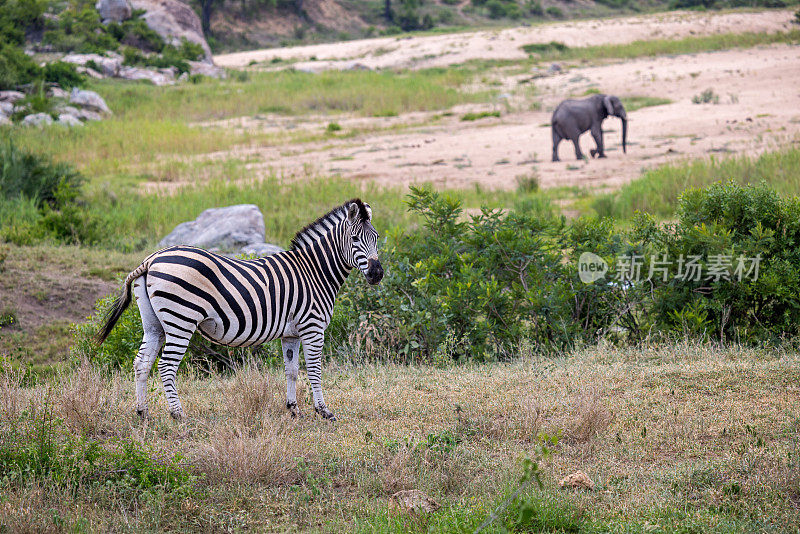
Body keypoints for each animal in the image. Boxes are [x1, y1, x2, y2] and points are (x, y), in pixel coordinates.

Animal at [97, 201, 384, 422]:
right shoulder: (312, 327)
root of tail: (151, 259)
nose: (377, 274)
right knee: (167, 366)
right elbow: (314, 370)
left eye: (377, 238)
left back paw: (142, 413)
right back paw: (178, 415)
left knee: (141, 363)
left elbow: (291, 370)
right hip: (181, 319)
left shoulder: (291, 333)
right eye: (355, 239)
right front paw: (324, 411)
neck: (314, 272)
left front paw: (293, 410)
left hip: (153, 323)